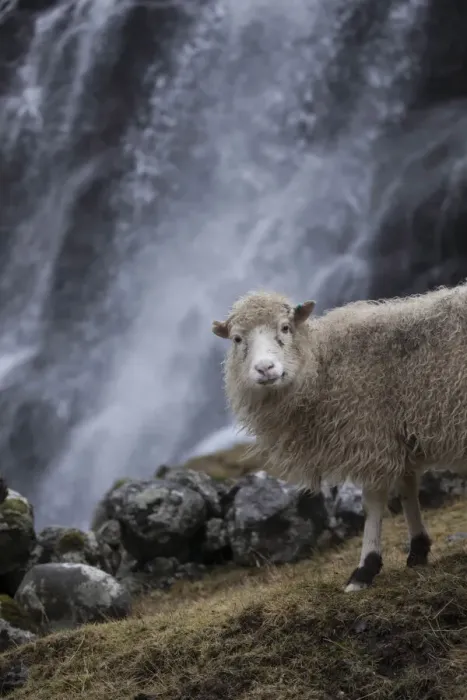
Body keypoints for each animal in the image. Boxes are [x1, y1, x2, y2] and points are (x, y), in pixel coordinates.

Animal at [211, 282, 467, 592]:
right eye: (237, 339)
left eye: (285, 327)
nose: (265, 368)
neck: (322, 366)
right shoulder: (395, 433)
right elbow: (407, 489)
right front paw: (418, 550)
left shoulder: (370, 436)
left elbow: (372, 503)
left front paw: (365, 569)